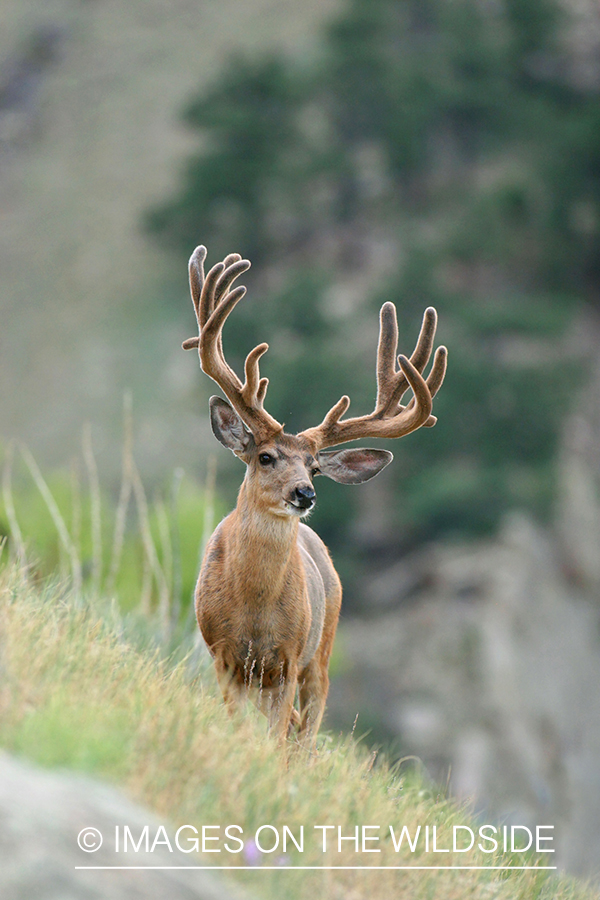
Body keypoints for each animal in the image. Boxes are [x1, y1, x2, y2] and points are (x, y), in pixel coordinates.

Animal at [182, 245, 447, 749]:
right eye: (265, 456)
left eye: (315, 467)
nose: (304, 493)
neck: (253, 612)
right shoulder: (222, 655)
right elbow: (237, 724)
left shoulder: (288, 658)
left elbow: (280, 734)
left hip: (321, 650)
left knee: (306, 729)